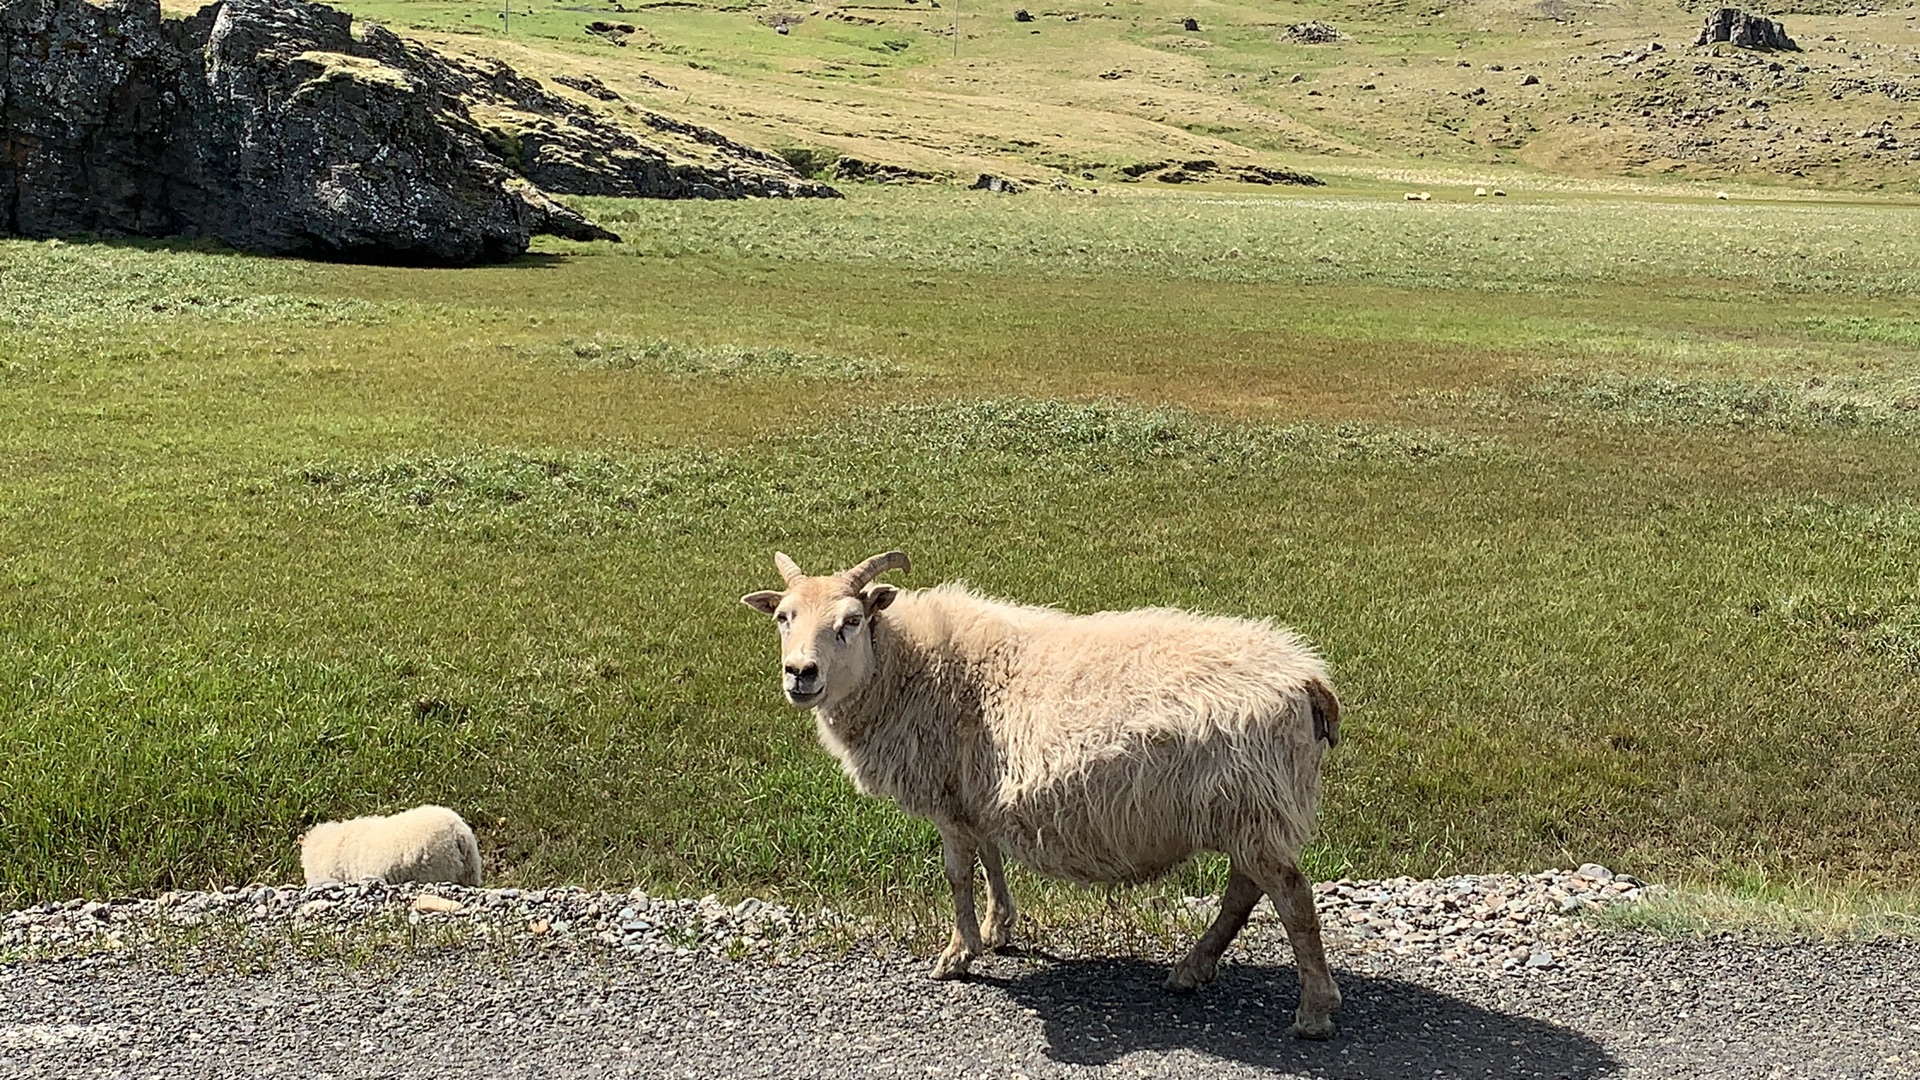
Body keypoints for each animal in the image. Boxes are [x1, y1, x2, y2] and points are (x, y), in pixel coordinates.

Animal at [741, 549, 1344, 1030]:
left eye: (851, 620)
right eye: (783, 617)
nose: (800, 673)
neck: (905, 668)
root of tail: (1307, 677)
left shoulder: (947, 799)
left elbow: (958, 875)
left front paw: (958, 955)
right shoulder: (976, 794)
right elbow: (991, 859)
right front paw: (998, 928)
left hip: (1255, 801)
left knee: (1291, 896)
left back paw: (1313, 1011)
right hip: (1247, 808)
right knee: (1247, 889)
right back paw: (1192, 970)